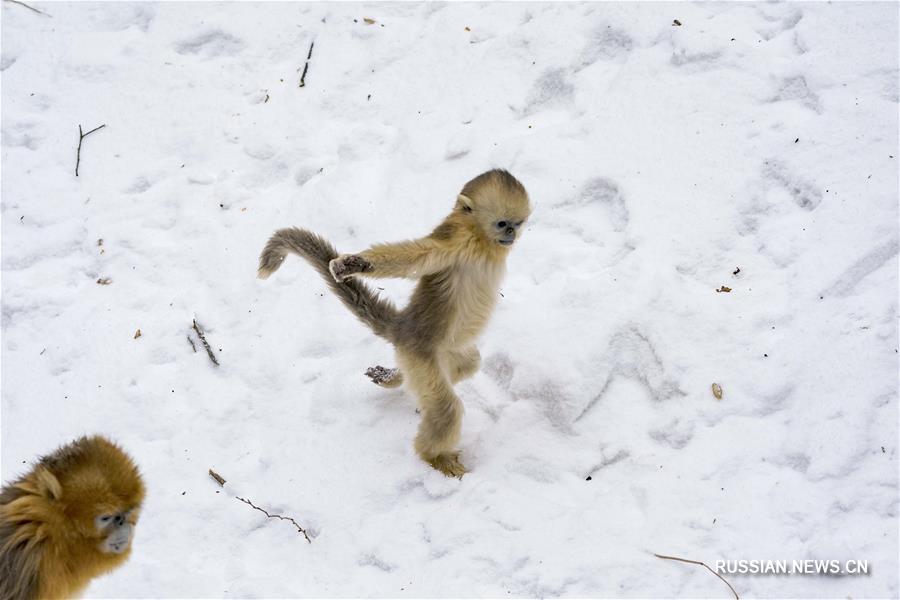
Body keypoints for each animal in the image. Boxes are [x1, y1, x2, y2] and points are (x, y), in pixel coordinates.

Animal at [256, 170, 532, 478]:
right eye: (502, 224)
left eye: (517, 224)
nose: (511, 234)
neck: (483, 243)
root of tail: (403, 327)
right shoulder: (455, 241)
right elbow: (419, 254)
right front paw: (354, 264)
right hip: (420, 357)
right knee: (447, 408)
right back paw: (434, 457)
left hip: (444, 353)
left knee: (468, 364)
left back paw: (395, 378)